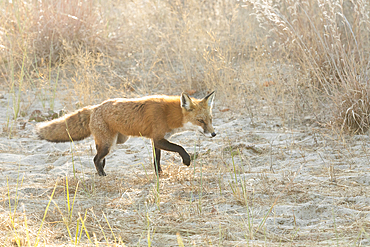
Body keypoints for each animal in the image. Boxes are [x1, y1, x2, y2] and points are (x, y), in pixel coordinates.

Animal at [36, 92, 215, 176]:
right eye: (200, 121)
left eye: (210, 119)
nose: (214, 134)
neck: (169, 114)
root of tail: (95, 107)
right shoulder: (158, 138)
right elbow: (180, 147)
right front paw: (186, 160)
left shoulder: (156, 140)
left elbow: (156, 160)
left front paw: (159, 174)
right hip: (109, 144)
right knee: (95, 159)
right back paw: (102, 174)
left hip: (116, 141)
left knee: (98, 157)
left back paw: (100, 170)